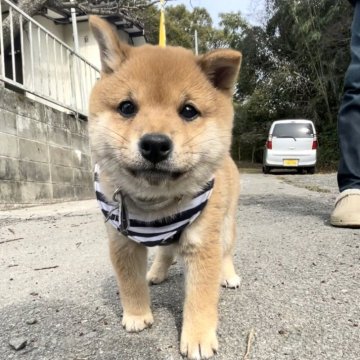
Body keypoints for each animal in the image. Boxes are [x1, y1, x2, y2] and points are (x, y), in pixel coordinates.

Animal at [88, 15, 242, 358]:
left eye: (188, 111)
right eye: (127, 107)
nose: (155, 144)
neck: (156, 203)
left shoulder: (202, 243)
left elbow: (200, 297)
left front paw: (197, 337)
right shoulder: (121, 241)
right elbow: (129, 283)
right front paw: (136, 315)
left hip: (225, 224)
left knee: (225, 253)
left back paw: (228, 275)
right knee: (165, 251)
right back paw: (156, 273)